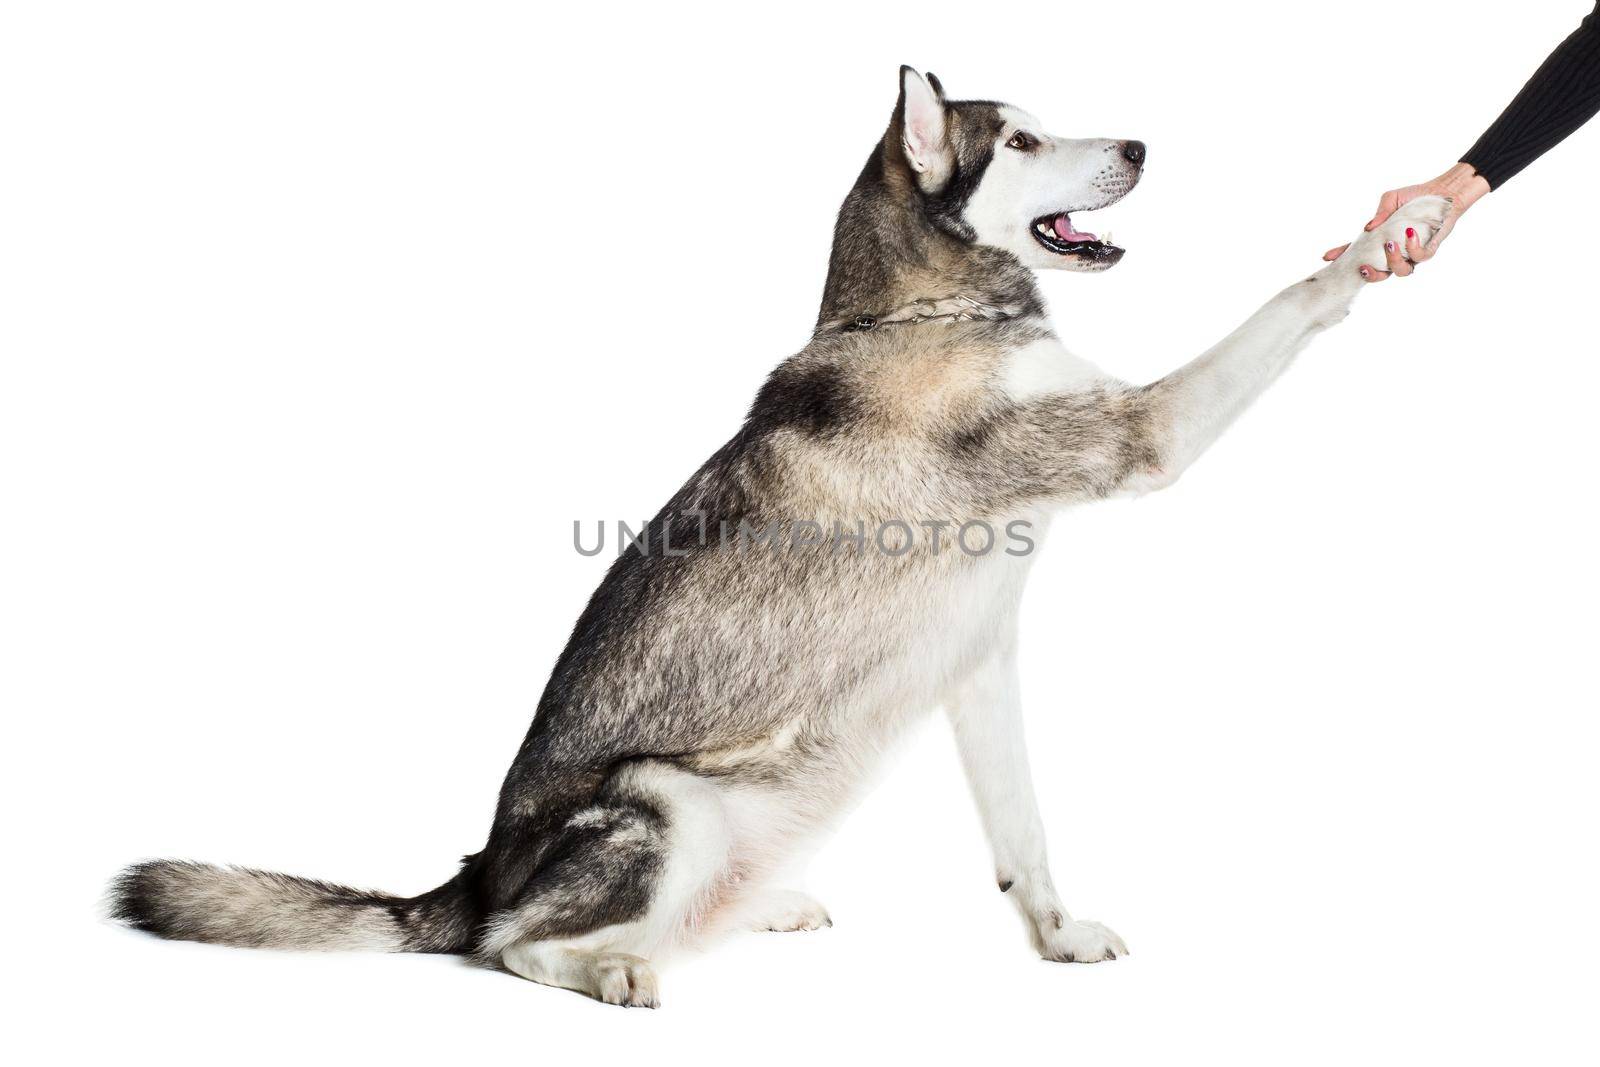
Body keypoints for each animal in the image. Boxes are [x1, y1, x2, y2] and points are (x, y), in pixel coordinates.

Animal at [106, 68, 1446, 1011]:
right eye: (1015, 141)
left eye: (1048, 127)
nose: (1139, 145)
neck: (927, 308)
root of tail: (469, 871)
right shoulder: (1141, 434)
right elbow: (1280, 309)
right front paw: (1377, 245)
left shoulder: (979, 659)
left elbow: (1024, 830)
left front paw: (1054, 932)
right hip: (661, 802)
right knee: (510, 947)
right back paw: (607, 968)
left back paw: (759, 908)